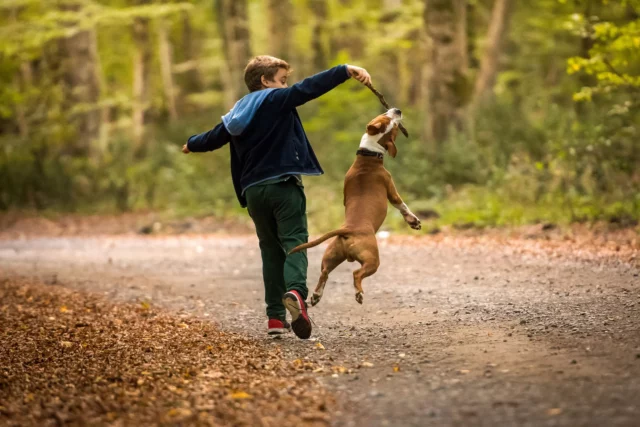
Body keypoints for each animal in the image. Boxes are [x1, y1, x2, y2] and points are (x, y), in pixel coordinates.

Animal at [288, 108, 420, 306]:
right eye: (391, 122)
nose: (397, 110)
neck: (368, 154)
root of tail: (348, 229)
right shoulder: (392, 191)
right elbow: (402, 206)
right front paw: (414, 221)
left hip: (332, 255)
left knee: (324, 272)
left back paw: (317, 295)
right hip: (372, 259)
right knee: (356, 274)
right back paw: (359, 294)